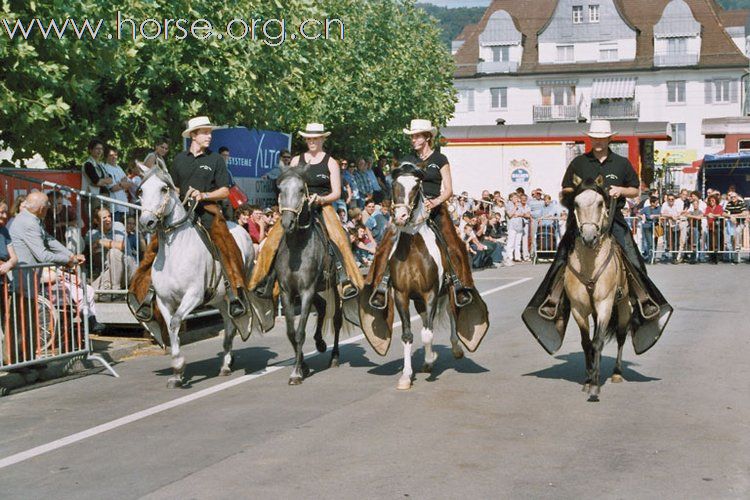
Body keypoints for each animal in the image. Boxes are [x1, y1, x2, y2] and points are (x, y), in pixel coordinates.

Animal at [134, 166, 254, 388]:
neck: (175, 252)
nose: (147, 222)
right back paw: (227, 361)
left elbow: (175, 323)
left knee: (232, 323)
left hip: (232, 293)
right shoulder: (164, 301)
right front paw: (176, 374)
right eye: (141, 191)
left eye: (164, 189)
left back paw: (226, 365)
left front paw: (179, 365)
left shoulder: (193, 296)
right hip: (219, 300)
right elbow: (172, 327)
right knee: (228, 322)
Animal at [253, 166, 346, 384]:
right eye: (280, 189)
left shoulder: (306, 292)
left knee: (337, 320)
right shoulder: (288, 293)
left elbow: (300, 332)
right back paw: (320, 343)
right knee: (322, 306)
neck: (297, 247)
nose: (288, 222)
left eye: (301, 190)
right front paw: (302, 366)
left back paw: (334, 356)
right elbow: (290, 332)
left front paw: (296, 373)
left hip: (333, 287)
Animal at [360, 162, 490, 388]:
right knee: (424, 318)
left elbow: (428, 333)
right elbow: (408, 334)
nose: (401, 217)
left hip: (447, 291)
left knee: (450, 312)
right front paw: (406, 376)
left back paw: (456, 349)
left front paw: (430, 359)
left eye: (415, 187)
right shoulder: (402, 295)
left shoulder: (431, 292)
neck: (413, 249)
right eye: (394, 185)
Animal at [568, 178, 636, 400]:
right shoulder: (578, 309)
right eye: (576, 203)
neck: (590, 265)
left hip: (623, 307)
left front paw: (595, 387)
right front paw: (588, 379)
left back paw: (616, 373)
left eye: (600, 203)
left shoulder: (605, 304)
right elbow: (586, 343)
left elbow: (598, 342)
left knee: (622, 335)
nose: (589, 237)